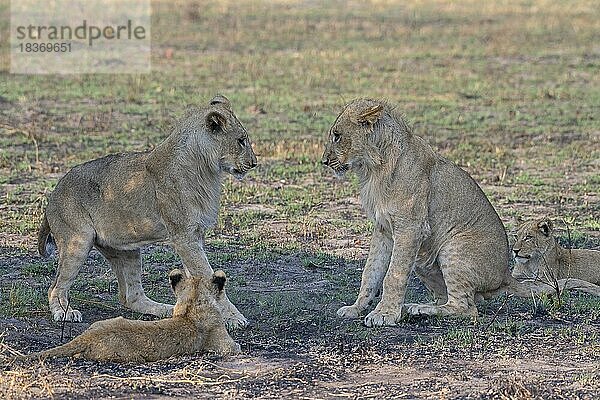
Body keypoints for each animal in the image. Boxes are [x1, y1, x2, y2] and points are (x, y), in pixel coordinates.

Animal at [21, 268, 241, 362]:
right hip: (127, 356)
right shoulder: (224, 345)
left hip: (101, 323)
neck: (192, 306)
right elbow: (234, 347)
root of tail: (88, 336)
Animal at [37, 94, 256, 328]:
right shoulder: (183, 236)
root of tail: (53, 195)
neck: (205, 168)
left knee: (131, 296)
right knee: (55, 287)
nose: (254, 163)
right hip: (77, 241)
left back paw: (167, 310)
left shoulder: (194, 236)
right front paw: (233, 318)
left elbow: (198, 278)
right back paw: (64, 312)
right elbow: (208, 277)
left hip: (126, 250)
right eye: (241, 141)